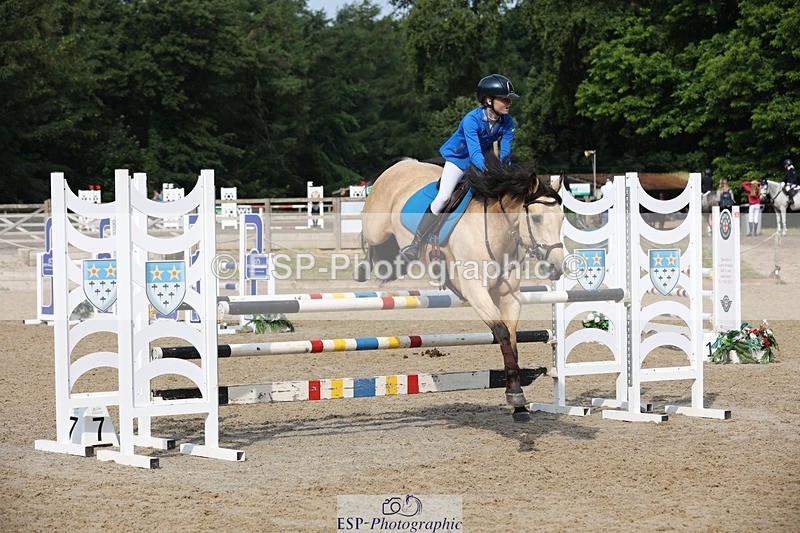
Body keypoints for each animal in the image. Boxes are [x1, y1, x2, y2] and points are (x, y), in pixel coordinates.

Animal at [356, 157, 565, 421]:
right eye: (536, 219)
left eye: (562, 219)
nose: (556, 267)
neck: (496, 230)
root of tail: (403, 164)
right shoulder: (475, 291)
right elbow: (502, 333)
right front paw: (516, 396)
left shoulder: (508, 296)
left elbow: (512, 339)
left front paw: (518, 402)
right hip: (376, 227)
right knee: (368, 239)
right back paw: (364, 268)